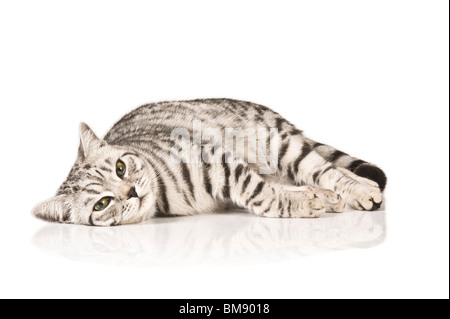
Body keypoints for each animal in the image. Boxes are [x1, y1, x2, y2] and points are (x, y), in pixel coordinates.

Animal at [33, 99, 386, 226]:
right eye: (102, 204)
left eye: (121, 168)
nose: (131, 192)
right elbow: (268, 193)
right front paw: (307, 202)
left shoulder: (219, 161)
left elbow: (260, 193)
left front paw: (306, 203)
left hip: (279, 144)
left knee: (326, 169)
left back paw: (362, 189)